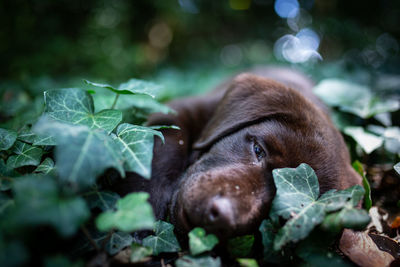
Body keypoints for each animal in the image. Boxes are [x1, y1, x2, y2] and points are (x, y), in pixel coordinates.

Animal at [111, 66, 360, 241]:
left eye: (281, 208)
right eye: (258, 150)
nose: (222, 217)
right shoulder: (181, 110)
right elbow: (164, 146)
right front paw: (144, 211)